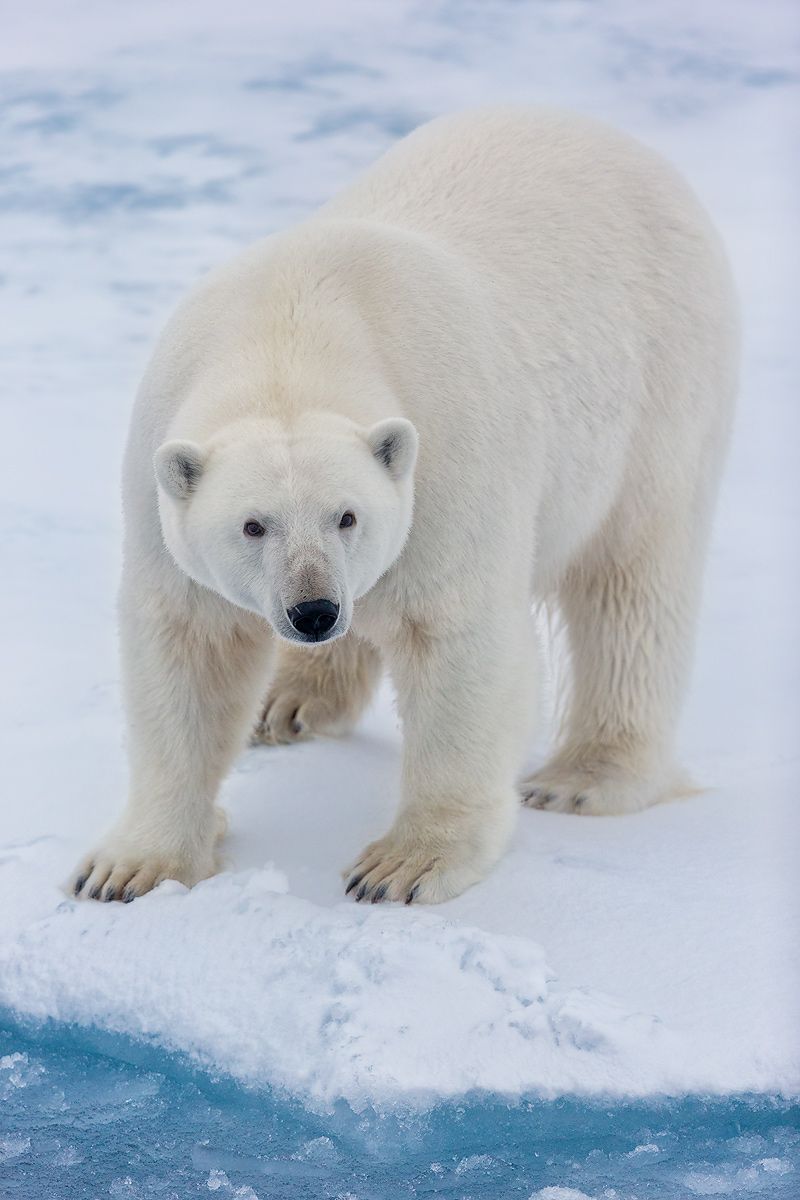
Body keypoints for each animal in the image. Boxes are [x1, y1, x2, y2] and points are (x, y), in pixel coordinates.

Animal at [70, 107, 738, 905]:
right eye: (253, 525)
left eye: (347, 516)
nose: (313, 611)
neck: (291, 331)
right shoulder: (160, 472)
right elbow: (188, 648)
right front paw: (128, 867)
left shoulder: (450, 459)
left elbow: (460, 642)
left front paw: (401, 867)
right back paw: (288, 704)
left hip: (661, 390)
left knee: (631, 583)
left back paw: (584, 777)